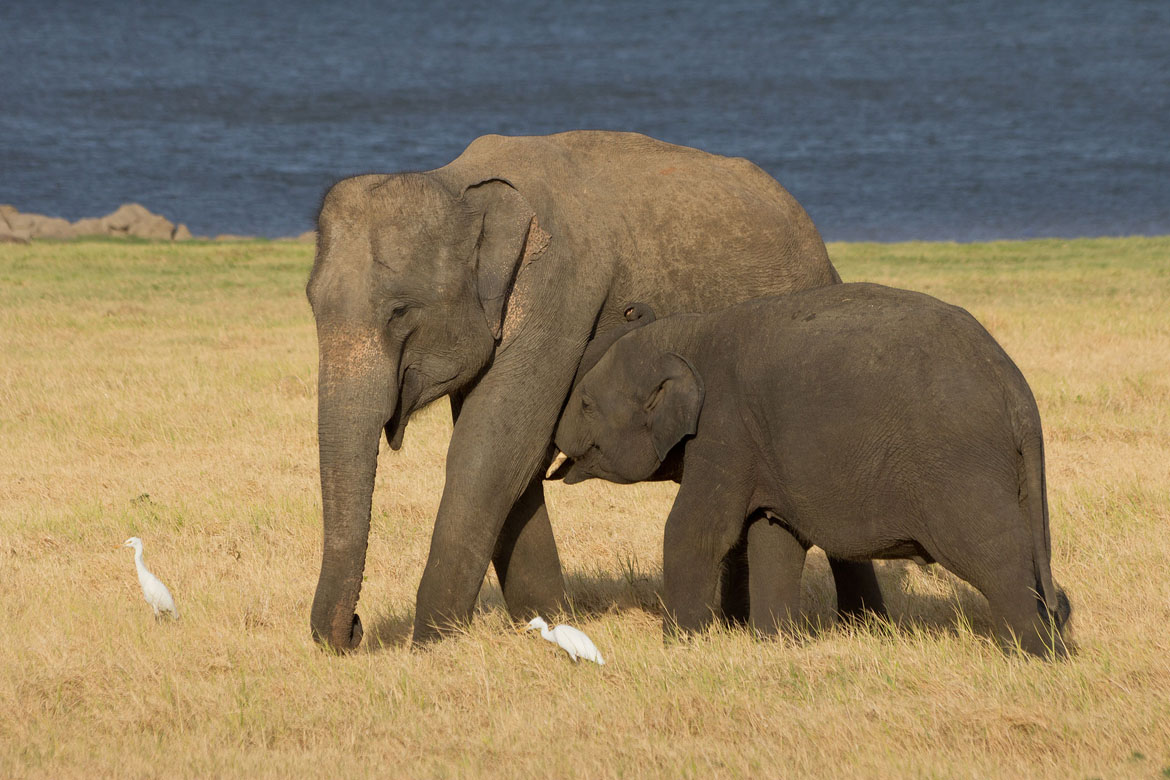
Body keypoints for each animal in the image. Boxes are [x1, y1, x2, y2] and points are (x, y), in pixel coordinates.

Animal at [306, 130, 879, 650]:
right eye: (311, 302)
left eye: (400, 311)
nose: (353, 631)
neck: (459, 182)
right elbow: (518, 464)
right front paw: (551, 626)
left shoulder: (560, 294)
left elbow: (491, 453)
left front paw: (431, 644)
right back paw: (739, 623)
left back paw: (863, 626)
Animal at [552, 284, 1071, 654]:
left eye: (585, 402)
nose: (555, 445)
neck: (687, 335)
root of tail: (1015, 388)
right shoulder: (761, 447)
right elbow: (773, 535)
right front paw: (777, 644)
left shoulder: (723, 428)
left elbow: (697, 530)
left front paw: (679, 647)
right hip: (1011, 471)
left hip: (957, 462)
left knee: (993, 550)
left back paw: (1034, 656)